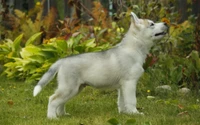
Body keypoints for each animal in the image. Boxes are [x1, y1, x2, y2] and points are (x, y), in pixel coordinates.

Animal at [33, 12, 168, 118]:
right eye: (152, 24)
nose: (166, 23)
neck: (133, 48)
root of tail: (62, 60)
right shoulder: (130, 82)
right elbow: (131, 100)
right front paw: (135, 113)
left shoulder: (122, 86)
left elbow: (122, 101)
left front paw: (125, 113)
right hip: (69, 88)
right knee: (53, 99)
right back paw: (52, 118)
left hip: (75, 88)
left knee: (61, 102)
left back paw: (63, 115)